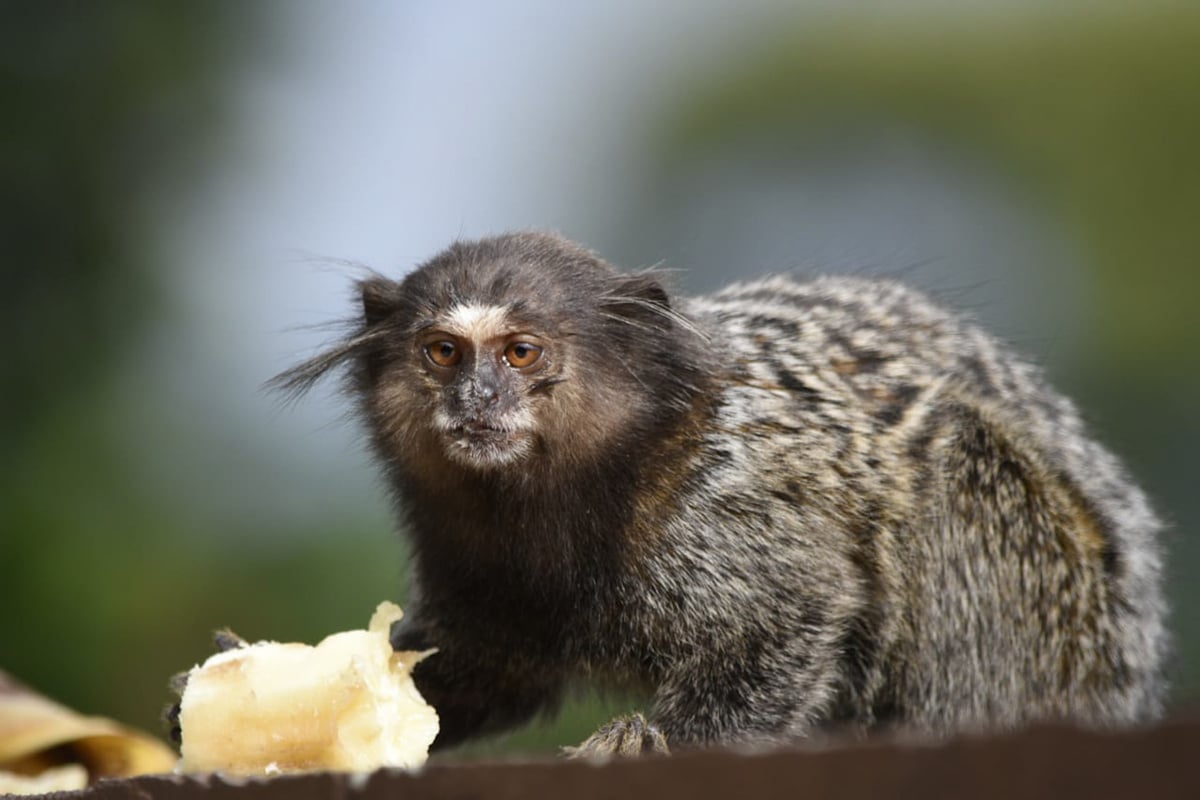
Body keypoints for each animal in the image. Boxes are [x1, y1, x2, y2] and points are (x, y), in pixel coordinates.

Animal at [274, 230, 1161, 758]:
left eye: (521, 353)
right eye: (444, 353)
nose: (477, 400)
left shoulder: (727, 503)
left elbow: (789, 620)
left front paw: (648, 742)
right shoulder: (472, 557)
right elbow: (486, 666)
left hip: (1058, 614)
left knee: (958, 459)